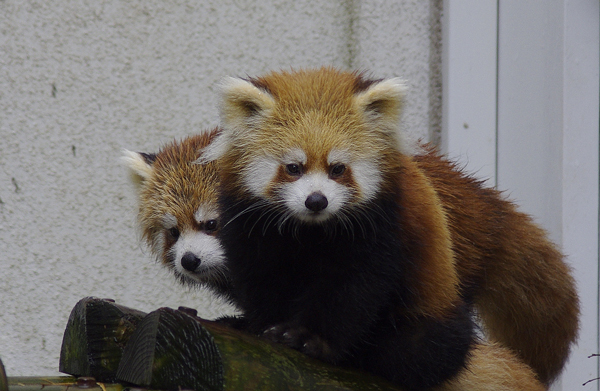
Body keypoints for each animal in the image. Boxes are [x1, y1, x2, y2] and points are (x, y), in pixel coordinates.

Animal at [204, 67, 580, 388]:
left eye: (338, 169)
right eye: (293, 168)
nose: (316, 200)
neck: (311, 230)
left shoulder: (382, 226)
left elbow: (353, 289)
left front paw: (311, 338)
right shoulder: (250, 225)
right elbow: (263, 279)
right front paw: (263, 327)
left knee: (424, 350)